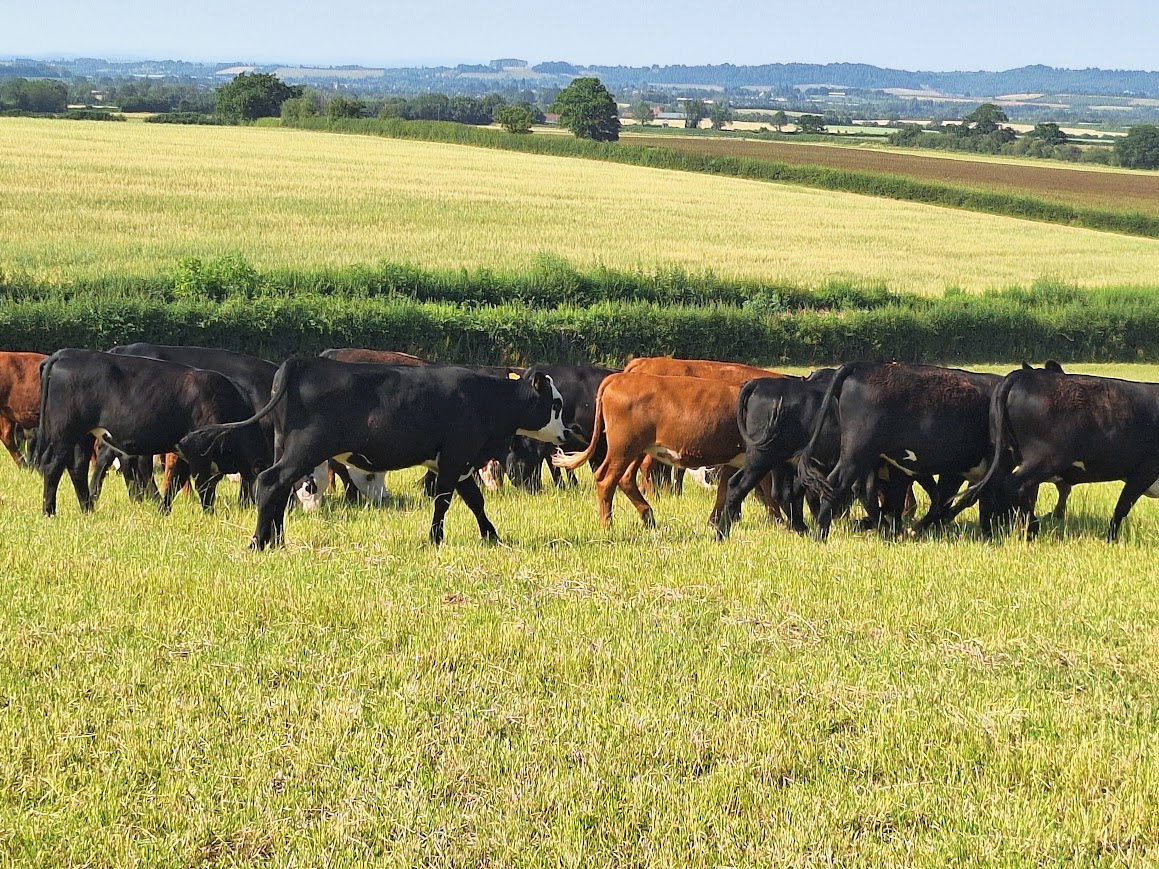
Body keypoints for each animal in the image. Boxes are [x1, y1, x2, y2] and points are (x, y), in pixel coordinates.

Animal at [36, 350, 270, 517]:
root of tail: (64, 354)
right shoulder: (198, 453)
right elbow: (204, 486)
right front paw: (209, 514)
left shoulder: (183, 450)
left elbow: (176, 481)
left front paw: (163, 510)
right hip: (64, 433)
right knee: (53, 467)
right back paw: (49, 511)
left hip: (83, 435)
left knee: (78, 468)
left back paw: (87, 509)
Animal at [177, 358, 569, 548]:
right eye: (556, 404)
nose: (566, 434)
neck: (482, 397)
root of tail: (300, 362)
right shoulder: (456, 457)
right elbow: (444, 501)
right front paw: (435, 539)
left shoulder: (456, 463)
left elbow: (473, 500)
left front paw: (491, 536)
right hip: (306, 448)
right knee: (271, 482)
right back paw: (259, 542)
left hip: (287, 447)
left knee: (279, 490)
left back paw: (277, 540)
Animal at [550, 372, 782, 529]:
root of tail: (619, 378)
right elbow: (765, 486)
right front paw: (779, 521)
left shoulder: (734, 460)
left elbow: (724, 490)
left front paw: (715, 521)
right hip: (623, 447)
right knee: (606, 479)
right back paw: (607, 524)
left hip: (637, 449)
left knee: (625, 478)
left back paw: (647, 517)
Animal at [950, 367, 1159, 541]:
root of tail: (1022, 375)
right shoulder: (1145, 471)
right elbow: (1122, 506)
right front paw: (1112, 539)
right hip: (1045, 459)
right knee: (1013, 485)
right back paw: (1031, 529)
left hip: (1003, 454)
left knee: (989, 489)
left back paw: (989, 534)